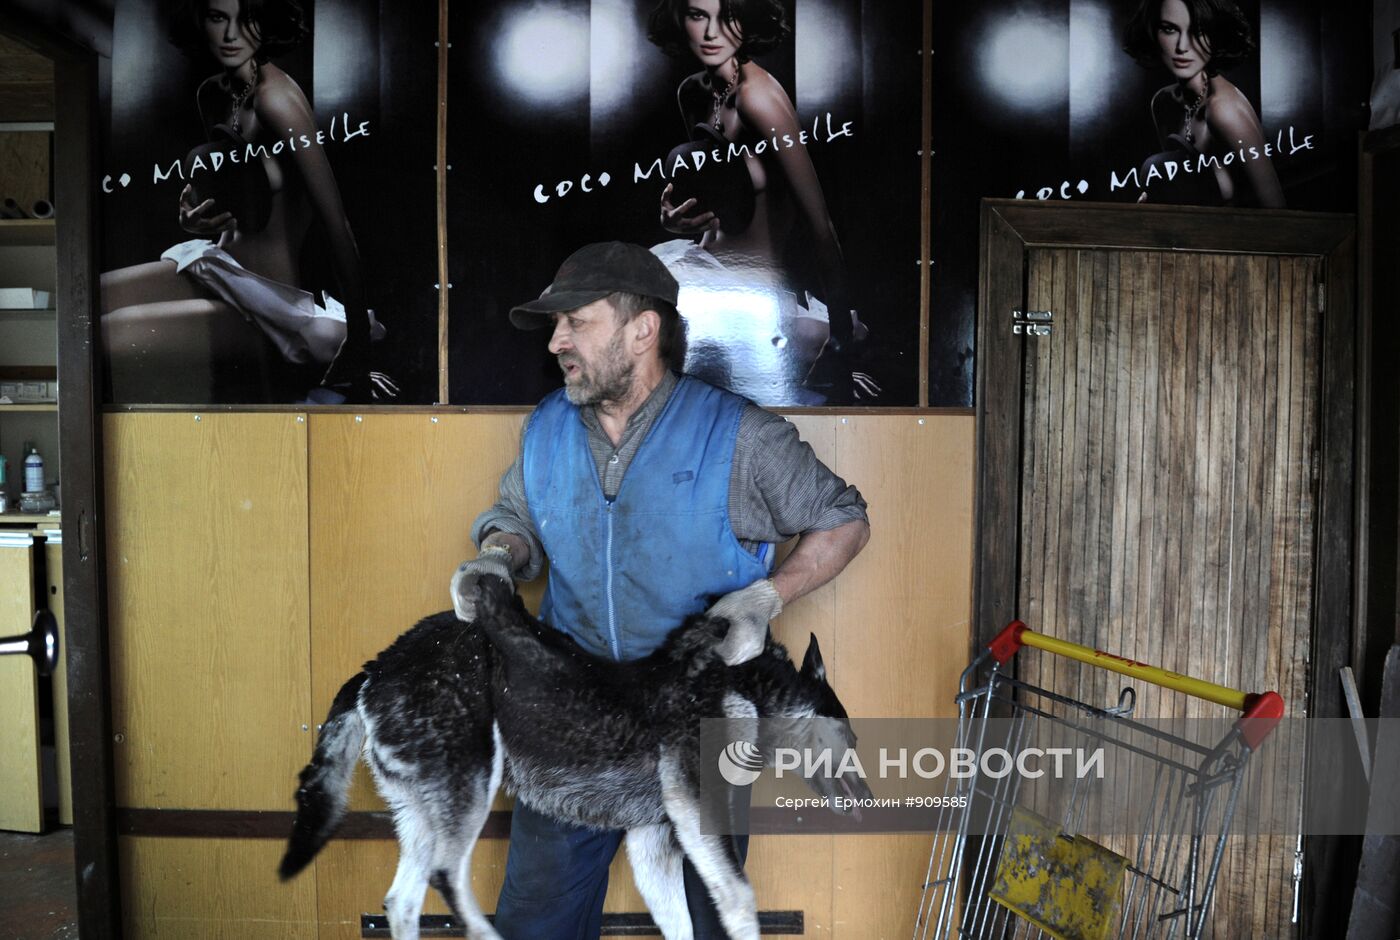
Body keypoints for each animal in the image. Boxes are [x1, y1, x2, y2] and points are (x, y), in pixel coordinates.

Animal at [278, 577, 868, 935]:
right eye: (853, 738)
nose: (868, 800)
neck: (744, 684)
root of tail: (378, 666)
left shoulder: (654, 843)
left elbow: (683, 922)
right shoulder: (694, 814)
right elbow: (741, 901)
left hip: (423, 814)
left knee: (402, 901)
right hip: (469, 788)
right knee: (448, 881)